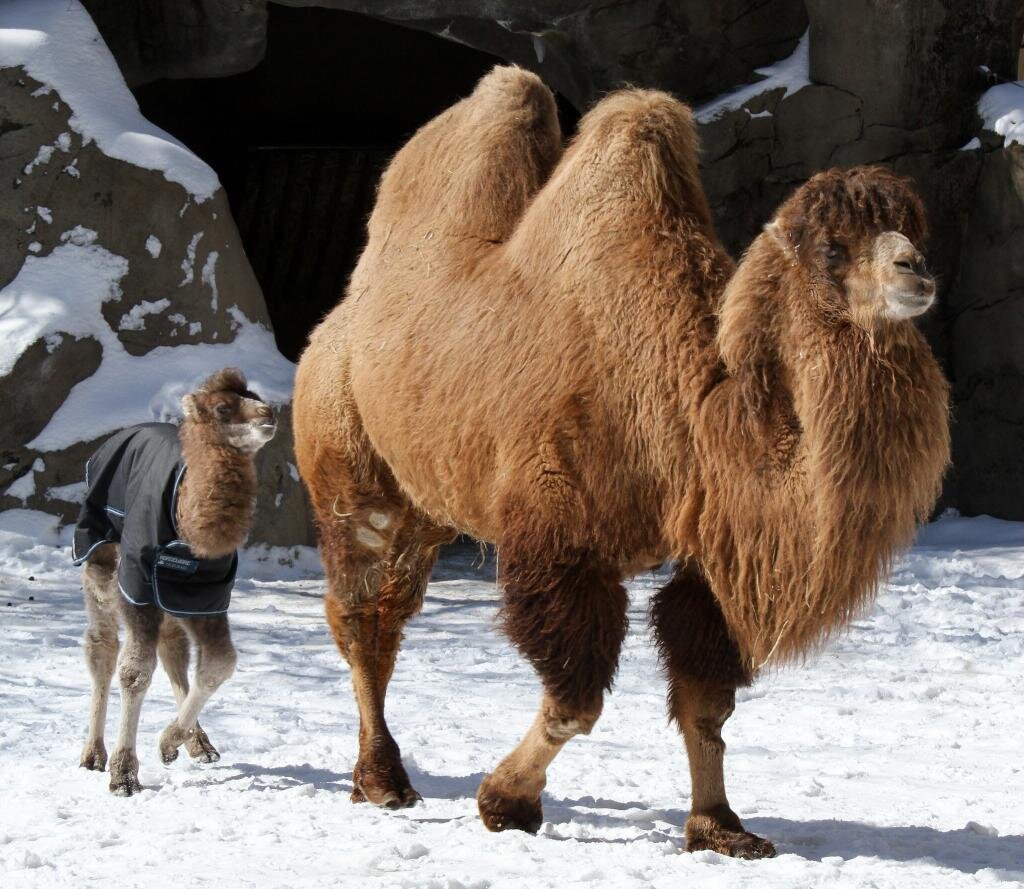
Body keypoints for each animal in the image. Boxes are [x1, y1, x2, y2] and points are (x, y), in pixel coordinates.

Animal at [73, 364, 276, 794]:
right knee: (101, 645)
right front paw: (124, 776)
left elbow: (220, 662)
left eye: (254, 396)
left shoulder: (209, 594)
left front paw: (170, 742)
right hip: (99, 555)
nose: (268, 415)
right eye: (222, 407)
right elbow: (134, 672)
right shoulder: (137, 587)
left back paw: (200, 745)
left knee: (172, 646)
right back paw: (93, 755)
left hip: (170, 594)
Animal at [292, 66, 946, 856]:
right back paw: (383, 780)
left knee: (387, 608)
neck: (689, 407)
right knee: (364, 617)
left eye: (915, 229)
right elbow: (574, 699)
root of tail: (337, 323)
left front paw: (721, 826)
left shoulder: (711, 554)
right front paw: (505, 802)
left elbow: (705, 696)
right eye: (832, 249)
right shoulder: (560, 530)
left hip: (428, 503)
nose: (916, 271)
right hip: (351, 470)